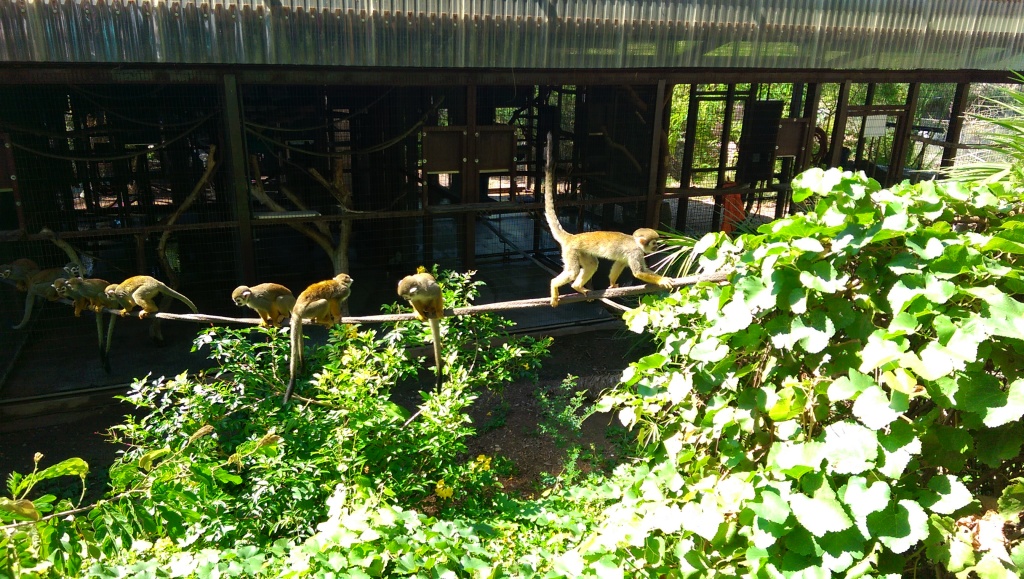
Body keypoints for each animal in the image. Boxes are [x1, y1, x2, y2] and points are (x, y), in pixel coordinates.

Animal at [540, 132, 675, 307]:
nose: (657, 247)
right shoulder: (635, 252)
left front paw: (612, 283)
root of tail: (572, 237)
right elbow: (639, 272)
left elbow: (620, 264)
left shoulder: (630, 255)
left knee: (592, 265)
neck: (636, 243)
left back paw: (578, 287)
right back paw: (554, 285)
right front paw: (662, 280)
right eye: (654, 243)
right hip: (571, 251)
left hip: (581, 251)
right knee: (572, 271)